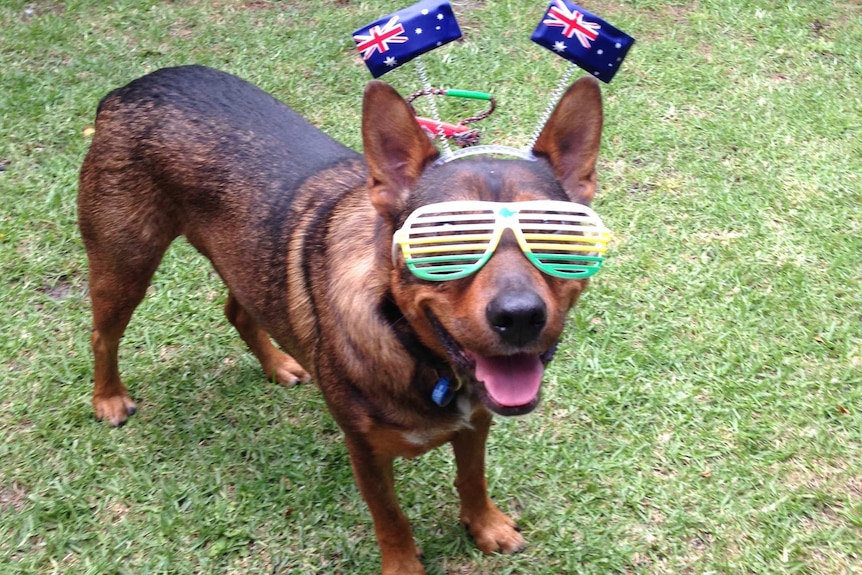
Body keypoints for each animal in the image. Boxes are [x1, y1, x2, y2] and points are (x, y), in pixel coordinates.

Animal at [79, 65, 608, 572]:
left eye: (556, 234)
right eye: (443, 241)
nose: (520, 318)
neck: (418, 353)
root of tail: (127, 89)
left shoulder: (475, 421)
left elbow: (471, 478)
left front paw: (485, 526)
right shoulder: (366, 450)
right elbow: (391, 519)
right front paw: (403, 567)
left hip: (242, 259)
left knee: (238, 310)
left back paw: (279, 364)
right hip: (125, 262)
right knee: (103, 334)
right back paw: (108, 398)